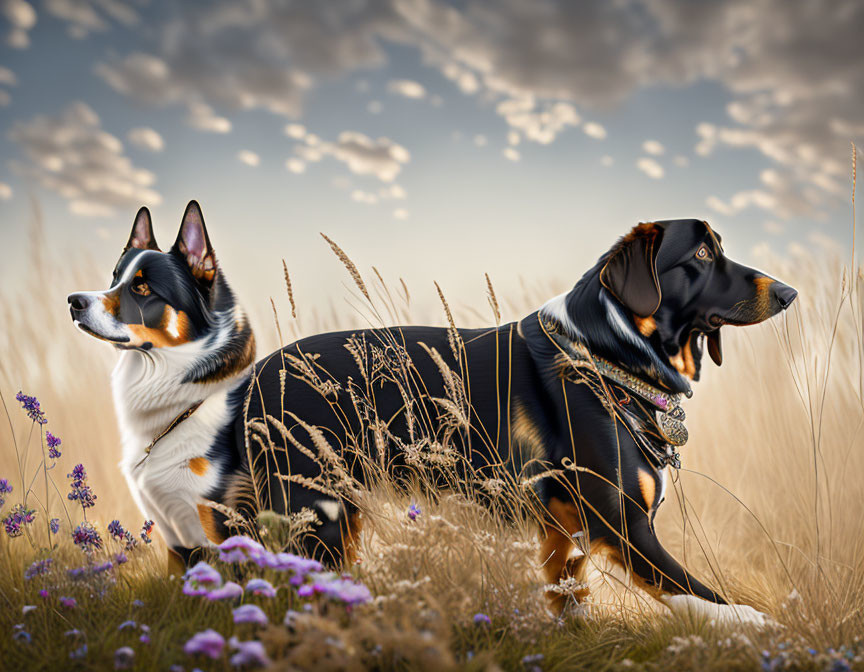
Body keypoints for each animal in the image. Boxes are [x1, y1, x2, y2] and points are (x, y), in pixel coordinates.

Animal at [69, 203, 796, 624]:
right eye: (700, 254)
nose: (789, 291)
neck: (606, 351)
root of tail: (249, 380)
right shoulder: (623, 522)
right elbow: (700, 597)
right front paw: (753, 630)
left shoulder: (565, 540)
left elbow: (570, 606)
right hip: (311, 520)